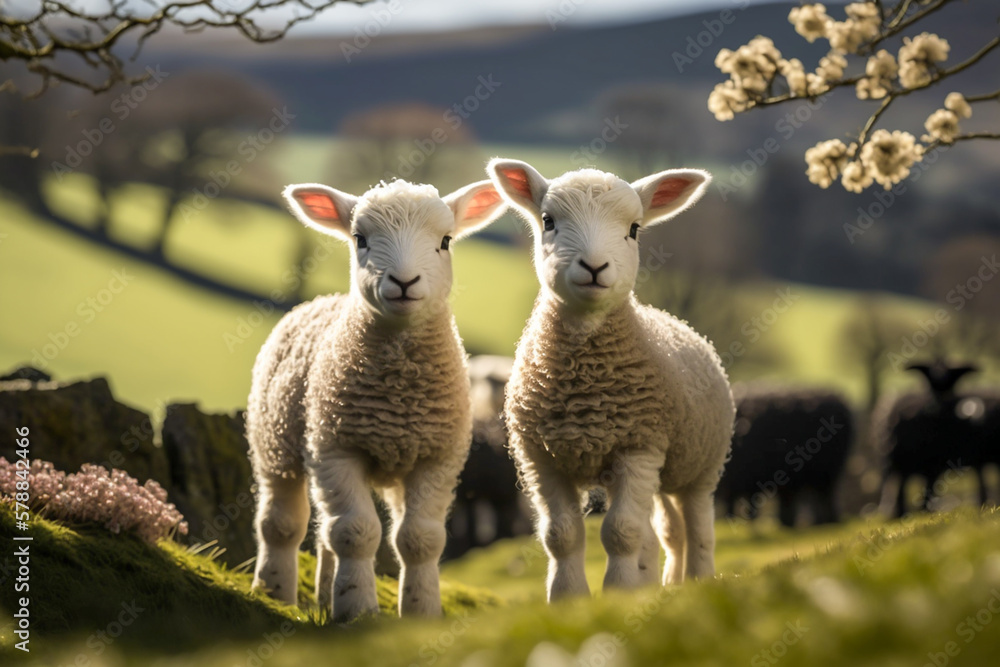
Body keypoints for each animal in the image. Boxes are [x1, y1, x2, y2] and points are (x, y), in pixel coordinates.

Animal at [246, 178, 506, 622]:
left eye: (446, 240)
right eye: (360, 239)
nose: (404, 281)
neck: (397, 394)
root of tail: (322, 299)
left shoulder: (437, 457)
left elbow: (420, 538)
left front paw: (420, 612)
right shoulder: (334, 449)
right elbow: (356, 532)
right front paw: (358, 611)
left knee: (325, 533)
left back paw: (324, 598)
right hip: (274, 443)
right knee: (281, 523)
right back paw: (274, 592)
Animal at [487, 158, 735, 599]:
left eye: (634, 229)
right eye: (548, 221)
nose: (594, 267)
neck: (585, 385)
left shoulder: (639, 447)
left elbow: (621, 532)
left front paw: (618, 593)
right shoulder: (540, 456)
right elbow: (561, 535)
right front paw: (569, 598)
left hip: (701, 464)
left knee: (698, 529)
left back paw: (697, 581)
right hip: (664, 471)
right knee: (666, 533)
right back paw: (664, 585)